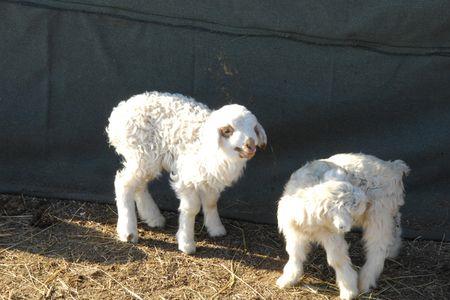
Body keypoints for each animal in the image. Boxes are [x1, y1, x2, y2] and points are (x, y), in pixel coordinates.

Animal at [105, 91, 268, 253]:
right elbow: (191, 209)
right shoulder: (187, 177)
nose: (250, 145)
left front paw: (216, 229)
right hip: (141, 154)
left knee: (139, 185)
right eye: (227, 130)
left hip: (147, 159)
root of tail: (119, 111)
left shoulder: (210, 179)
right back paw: (128, 231)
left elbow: (211, 202)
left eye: (254, 128)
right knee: (124, 184)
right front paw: (187, 243)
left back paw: (153, 218)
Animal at [276, 154, 410, 298]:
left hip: (380, 213)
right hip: (390, 210)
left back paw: (366, 280)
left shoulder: (332, 236)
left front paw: (349, 290)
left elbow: (337, 260)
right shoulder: (293, 233)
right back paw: (392, 251)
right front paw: (288, 279)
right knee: (395, 226)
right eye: (357, 204)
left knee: (378, 246)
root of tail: (394, 167)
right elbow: (294, 253)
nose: (367, 202)